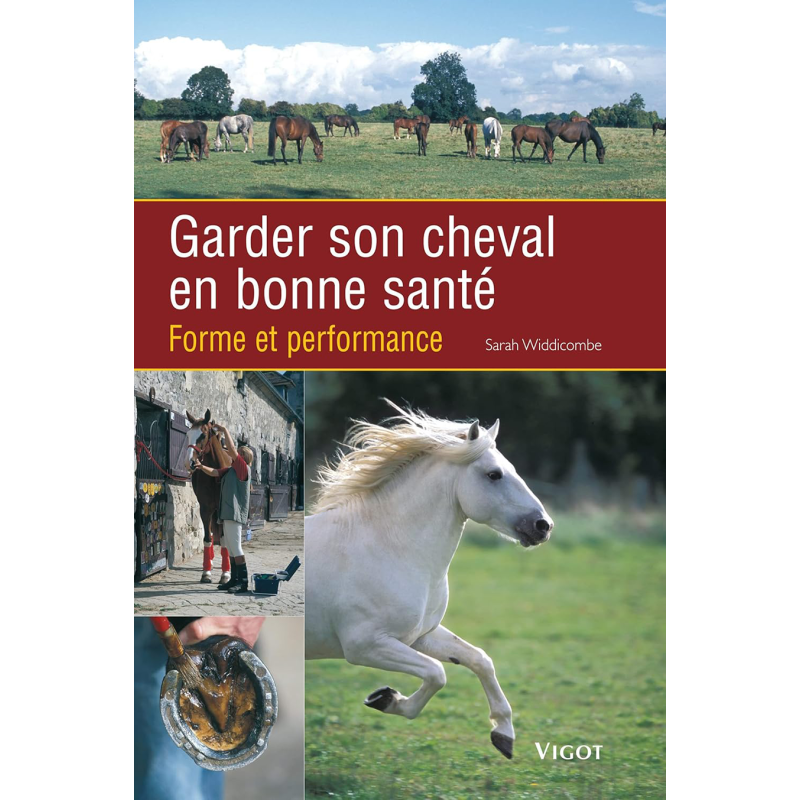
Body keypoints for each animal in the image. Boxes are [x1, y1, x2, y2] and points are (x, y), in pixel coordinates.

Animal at [305, 403, 554, 760]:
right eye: (494, 474)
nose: (543, 526)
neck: (389, 547)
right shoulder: (365, 645)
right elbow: (438, 674)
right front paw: (385, 699)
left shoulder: (419, 635)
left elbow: (480, 659)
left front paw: (503, 734)